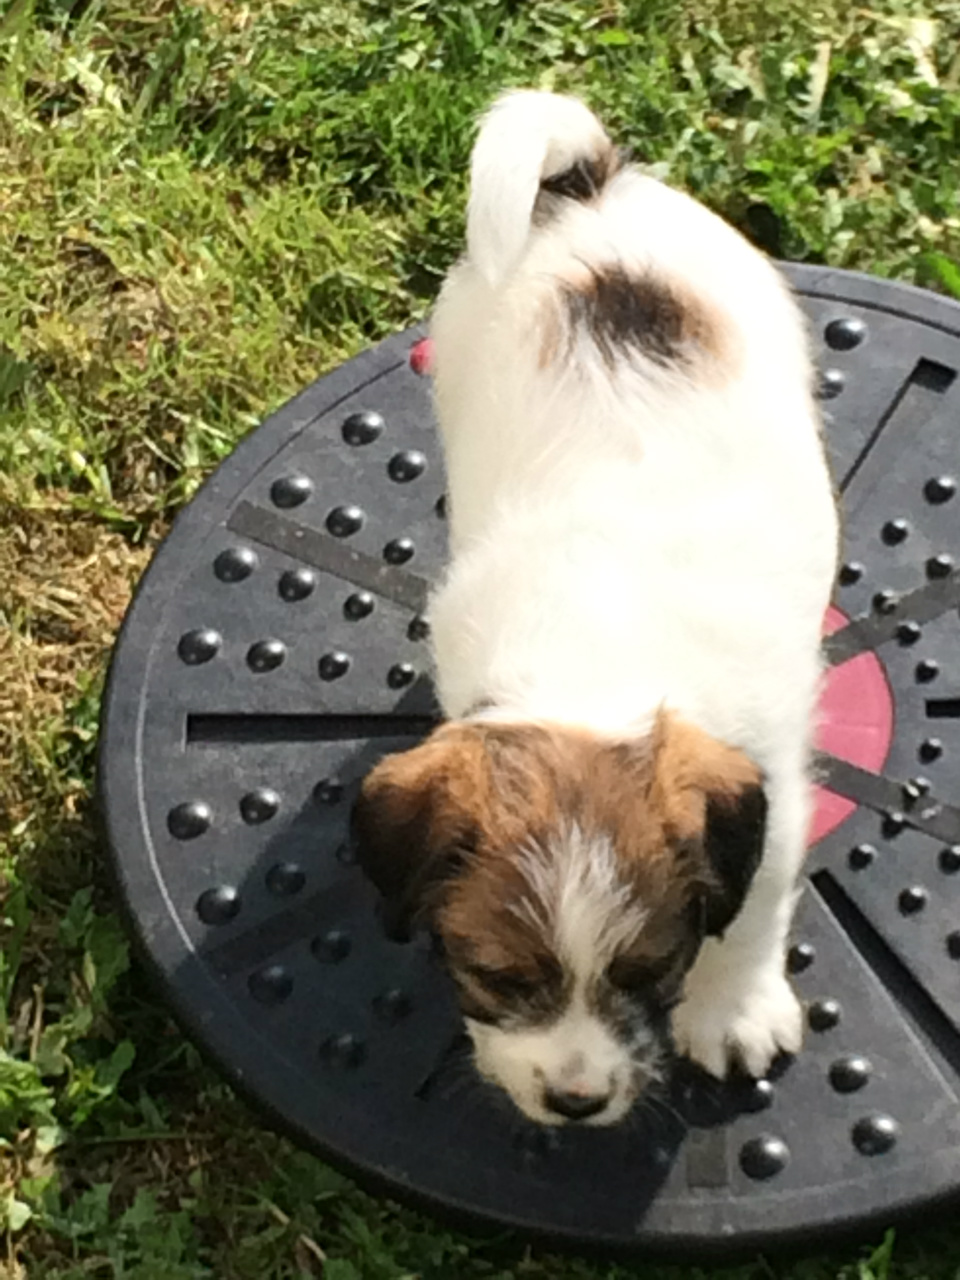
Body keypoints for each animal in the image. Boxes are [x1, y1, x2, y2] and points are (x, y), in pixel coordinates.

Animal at [352, 90, 838, 1127]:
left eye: (651, 970)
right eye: (496, 975)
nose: (575, 1103)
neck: (596, 655)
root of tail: (589, 192)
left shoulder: (772, 797)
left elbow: (754, 908)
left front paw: (732, 1012)